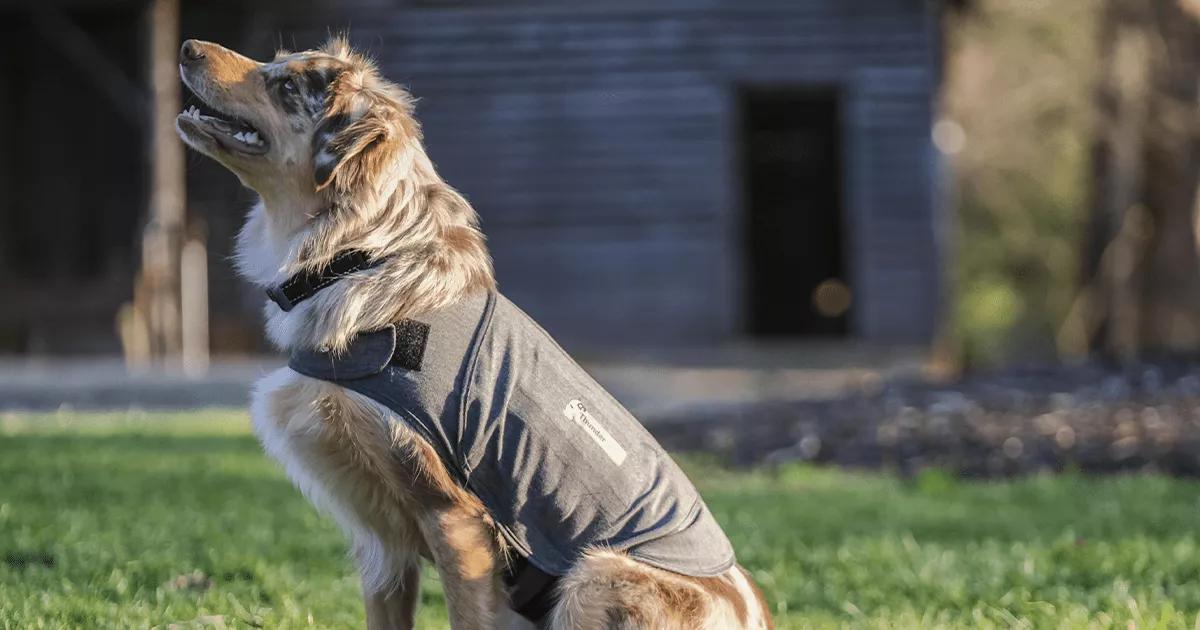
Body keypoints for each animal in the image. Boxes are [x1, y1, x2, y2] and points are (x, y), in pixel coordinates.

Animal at [174, 36, 772, 624]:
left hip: (593, 574)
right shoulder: (381, 543)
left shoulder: (453, 517)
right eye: (275, 62)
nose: (187, 48)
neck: (357, 254)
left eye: (288, 86)